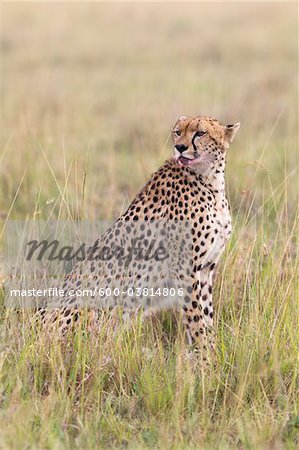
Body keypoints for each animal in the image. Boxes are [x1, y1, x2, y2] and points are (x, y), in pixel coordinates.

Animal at [36, 114, 240, 354]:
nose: (180, 147)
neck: (210, 180)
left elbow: (206, 317)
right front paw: (205, 357)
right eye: (178, 132)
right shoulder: (184, 269)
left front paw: (213, 351)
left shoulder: (205, 268)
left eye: (200, 133)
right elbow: (197, 320)